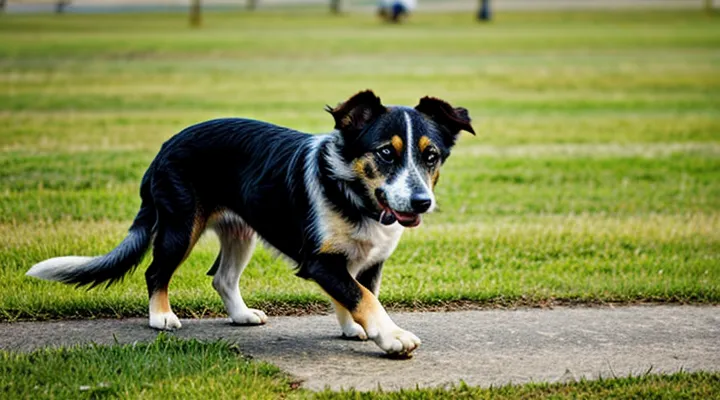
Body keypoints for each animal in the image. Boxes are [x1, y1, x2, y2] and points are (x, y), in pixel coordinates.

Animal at [26, 90, 472, 356]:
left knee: (222, 278)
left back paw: (241, 315)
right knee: (156, 271)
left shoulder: (370, 259)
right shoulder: (319, 261)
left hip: (240, 232)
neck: (352, 191)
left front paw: (354, 328)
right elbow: (362, 296)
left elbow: (358, 292)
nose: (422, 202)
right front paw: (392, 336)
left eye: (431, 156)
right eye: (385, 153)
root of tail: (165, 147)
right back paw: (161, 317)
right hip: (180, 224)